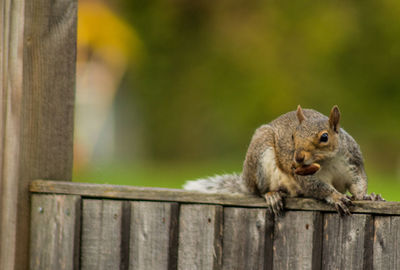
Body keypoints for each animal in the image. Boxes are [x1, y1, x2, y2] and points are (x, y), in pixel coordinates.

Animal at [184, 105, 384, 215]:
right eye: (293, 136)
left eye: (324, 137)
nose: (298, 158)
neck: (329, 160)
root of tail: (246, 182)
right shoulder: (306, 177)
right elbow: (318, 187)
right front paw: (336, 197)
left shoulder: (353, 163)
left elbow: (358, 183)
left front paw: (368, 196)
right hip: (261, 158)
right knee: (259, 191)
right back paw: (272, 195)